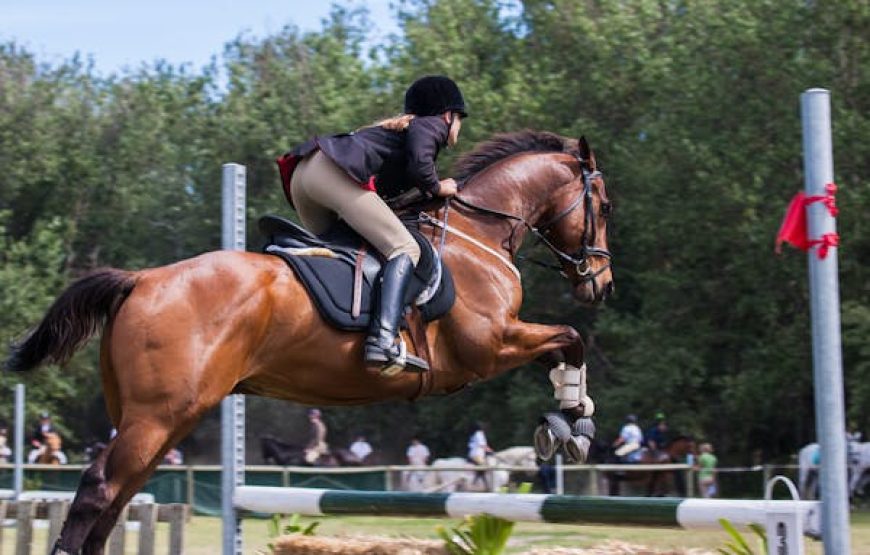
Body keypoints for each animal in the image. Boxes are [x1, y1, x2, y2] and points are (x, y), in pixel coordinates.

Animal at [6, 131, 613, 554]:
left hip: (160, 418)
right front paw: (570, 425)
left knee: (118, 496)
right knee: (99, 488)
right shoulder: (487, 347)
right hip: (156, 416)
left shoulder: (496, 345)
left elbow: (565, 343)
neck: (476, 236)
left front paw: (572, 416)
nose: (600, 284)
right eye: (603, 207)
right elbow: (570, 339)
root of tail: (140, 280)